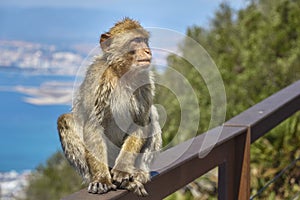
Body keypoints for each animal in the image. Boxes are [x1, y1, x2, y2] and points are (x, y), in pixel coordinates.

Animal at [57, 18, 163, 196]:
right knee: (64, 120)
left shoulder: (144, 81)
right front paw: (101, 180)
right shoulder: (97, 78)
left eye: (144, 40)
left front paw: (122, 170)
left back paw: (137, 174)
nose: (147, 50)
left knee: (152, 114)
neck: (122, 73)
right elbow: (93, 126)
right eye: (136, 41)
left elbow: (140, 123)